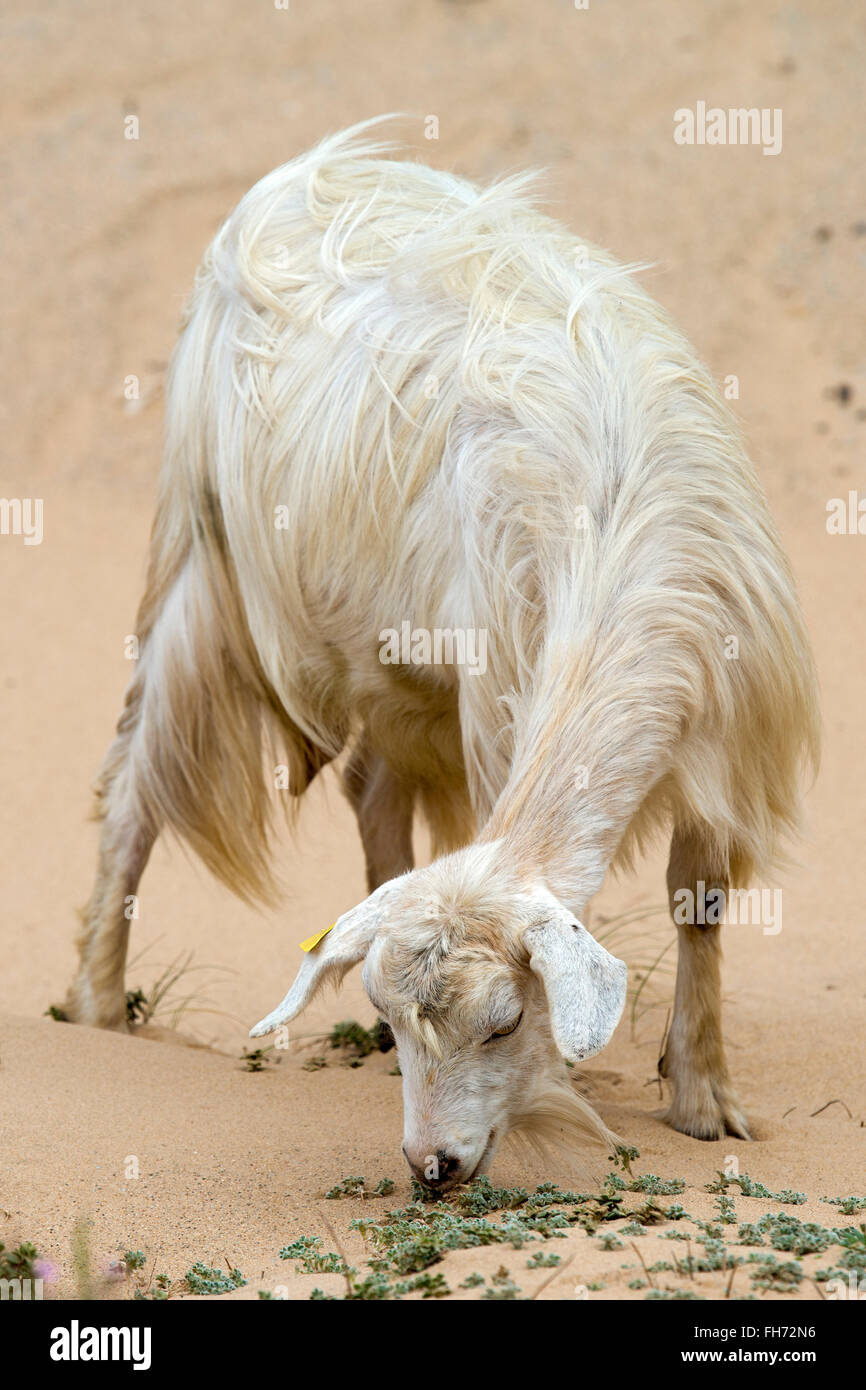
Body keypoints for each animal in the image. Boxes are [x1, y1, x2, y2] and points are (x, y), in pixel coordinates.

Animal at [67, 119, 817, 1189]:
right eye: (394, 1012)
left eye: (505, 1022)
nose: (433, 1166)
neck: (614, 524)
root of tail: (293, 173)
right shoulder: (498, 693)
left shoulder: (726, 733)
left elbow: (700, 903)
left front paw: (704, 1099)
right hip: (201, 561)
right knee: (137, 774)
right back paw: (96, 1006)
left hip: (391, 658)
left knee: (372, 793)